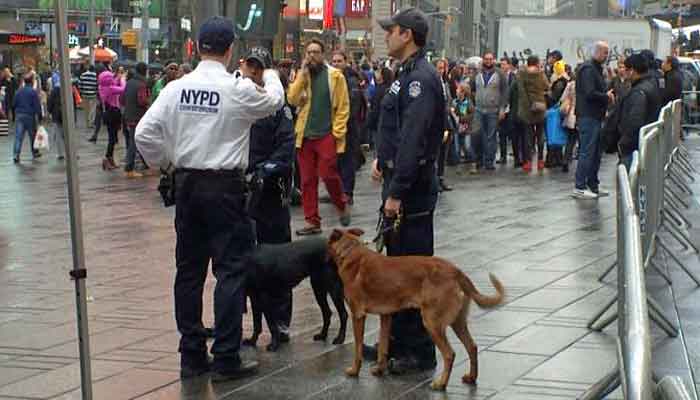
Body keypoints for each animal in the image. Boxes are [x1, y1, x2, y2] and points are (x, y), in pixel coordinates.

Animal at [328, 228, 504, 390]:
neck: (351, 251)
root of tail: (456, 271)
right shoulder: (386, 316)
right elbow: (383, 348)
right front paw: (379, 369)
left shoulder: (357, 315)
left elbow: (357, 349)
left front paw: (354, 370)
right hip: (457, 322)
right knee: (472, 347)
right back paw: (471, 378)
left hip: (432, 322)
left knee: (449, 354)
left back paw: (441, 383)